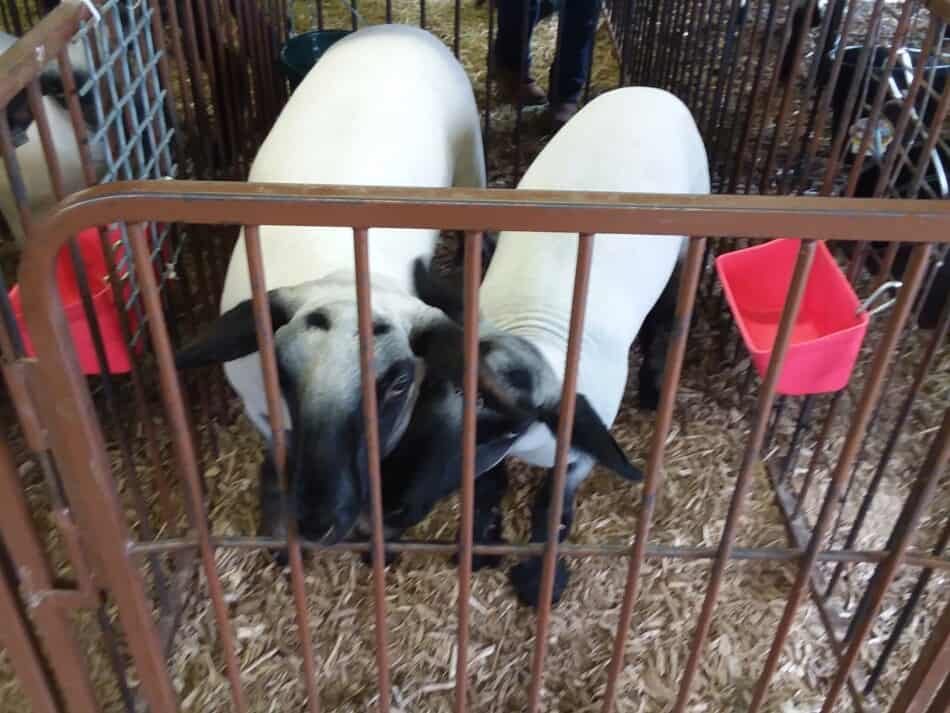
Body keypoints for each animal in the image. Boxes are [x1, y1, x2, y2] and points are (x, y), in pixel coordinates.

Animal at [176, 22, 490, 548]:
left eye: (397, 383)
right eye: (281, 371)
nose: (319, 523)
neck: (343, 270)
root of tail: (394, 26)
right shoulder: (263, 412)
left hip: (472, 159)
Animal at [384, 85, 712, 608]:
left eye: (505, 426)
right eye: (426, 383)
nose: (391, 503)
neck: (541, 333)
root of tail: (649, 89)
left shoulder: (577, 455)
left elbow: (550, 507)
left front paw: (541, 581)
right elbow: (489, 486)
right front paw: (482, 547)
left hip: (686, 245)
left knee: (665, 316)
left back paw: (653, 386)